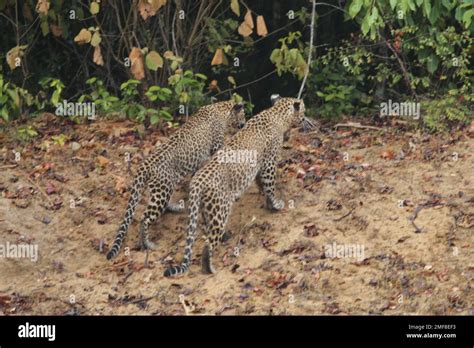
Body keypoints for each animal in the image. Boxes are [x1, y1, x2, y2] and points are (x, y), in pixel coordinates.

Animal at [106, 99, 246, 260]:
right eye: (243, 114)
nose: (244, 123)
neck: (222, 109)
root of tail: (145, 164)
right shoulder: (215, 147)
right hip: (162, 191)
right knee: (144, 218)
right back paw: (147, 244)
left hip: (161, 188)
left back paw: (175, 208)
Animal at [163, 96, 304, 276]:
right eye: (304, 109)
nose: (304, 118)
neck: (277, 115)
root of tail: (197, 182)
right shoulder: (269, 163)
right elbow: (270, 186)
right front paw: (277, 204)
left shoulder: (259, 167)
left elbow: (262, 185)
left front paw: (268, 204)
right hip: (220, 209)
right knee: (208, 245)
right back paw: (210, 269)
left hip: (207, 208)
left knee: (208, 227)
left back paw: (224, 237)